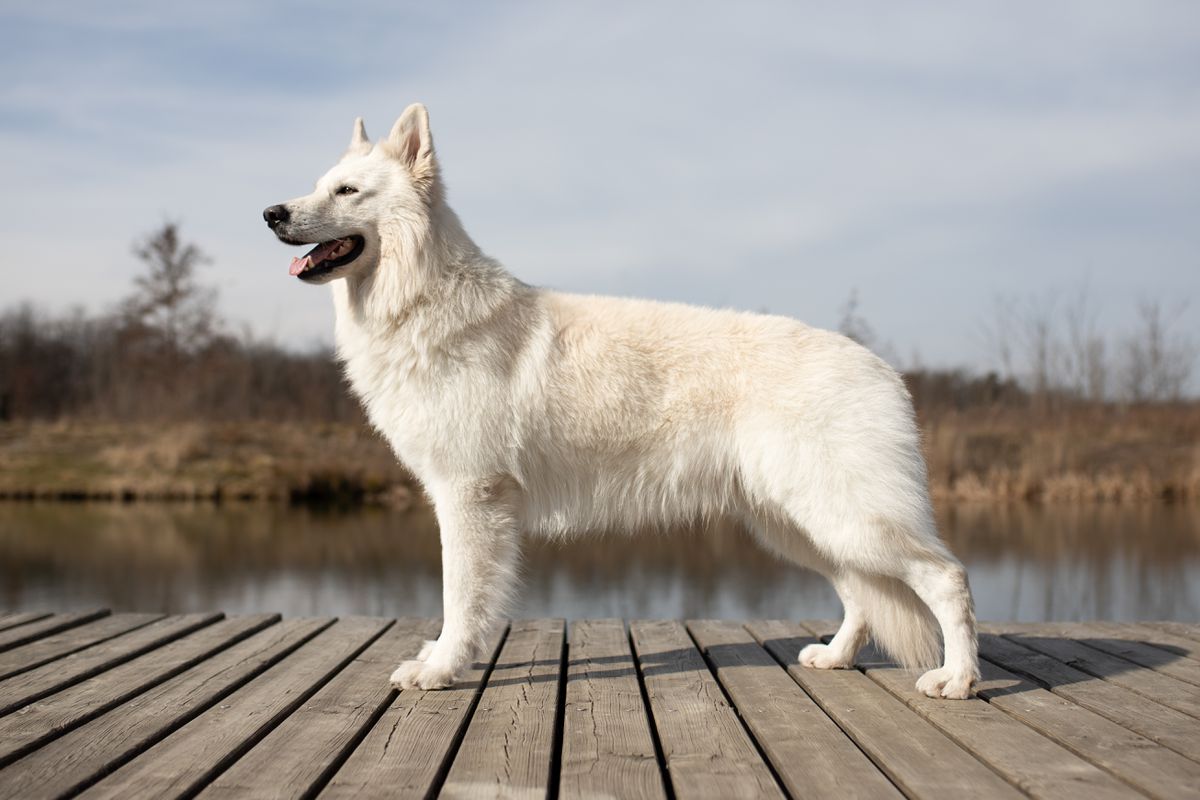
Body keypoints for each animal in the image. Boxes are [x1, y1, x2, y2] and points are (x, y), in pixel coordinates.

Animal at [265, 103, 984, 695]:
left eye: (346, 191)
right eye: (319, 183)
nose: (271, 214)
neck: (420, 300)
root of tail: (882, 368)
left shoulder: (470, 497)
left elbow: (460, 599)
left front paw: (441, 669)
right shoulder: (465, 496)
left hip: (843, 518)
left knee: (947, 578)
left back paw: (958, 679)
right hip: (800, 522)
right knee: (863, 595)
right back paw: (836, 657)